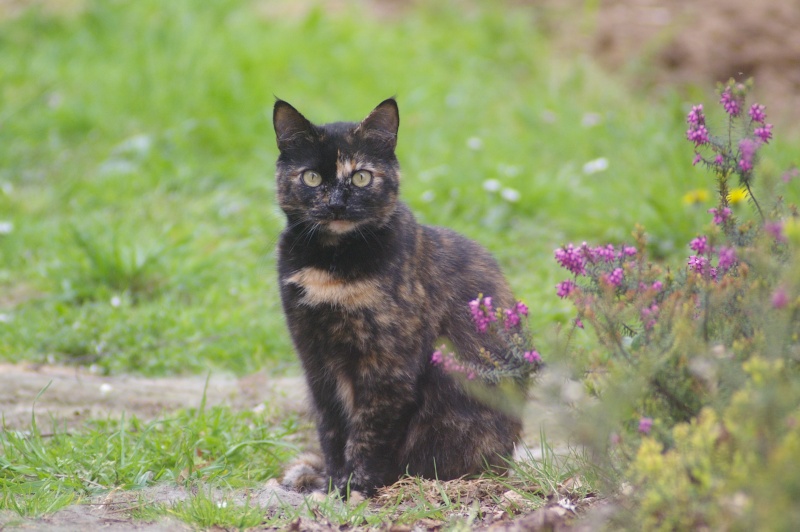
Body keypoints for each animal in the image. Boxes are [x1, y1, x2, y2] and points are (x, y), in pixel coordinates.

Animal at [276, 97, 520, 496]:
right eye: (311, 177)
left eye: (361, 177)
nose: (337, 204)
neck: (332, 263)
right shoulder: (314, 359)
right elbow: (331, 427)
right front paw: (334, 481)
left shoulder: (389, 364)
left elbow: (370, 431)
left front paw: (356, 486)